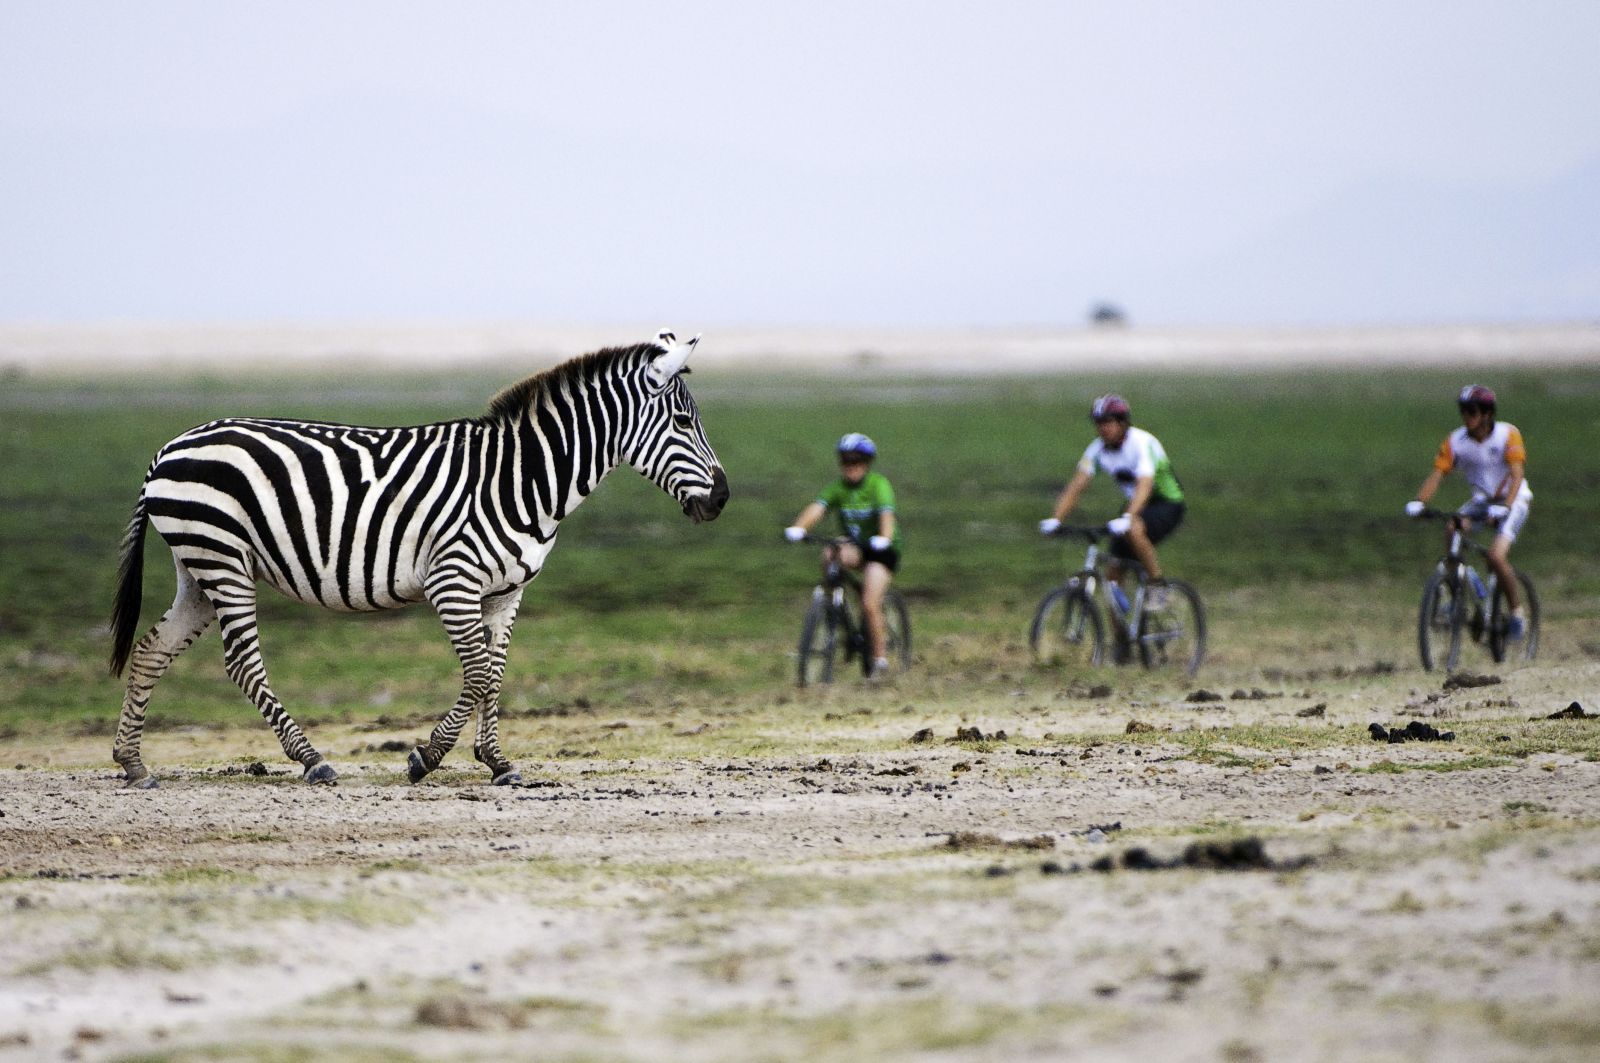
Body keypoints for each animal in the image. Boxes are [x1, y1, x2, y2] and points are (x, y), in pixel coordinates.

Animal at [103, 332, 723, 787]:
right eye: (684, 422)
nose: (722, 499)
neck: (522, 480)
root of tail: (169, 447)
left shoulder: (507, 590)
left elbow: (496, 671)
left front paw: (497, 763)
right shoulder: (452, 580)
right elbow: (478, 673)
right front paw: (428, 757)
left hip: (198, 566)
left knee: (153, 649)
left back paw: (134, 763)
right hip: (222, 557)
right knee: (242, 663)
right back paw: (313, 761)